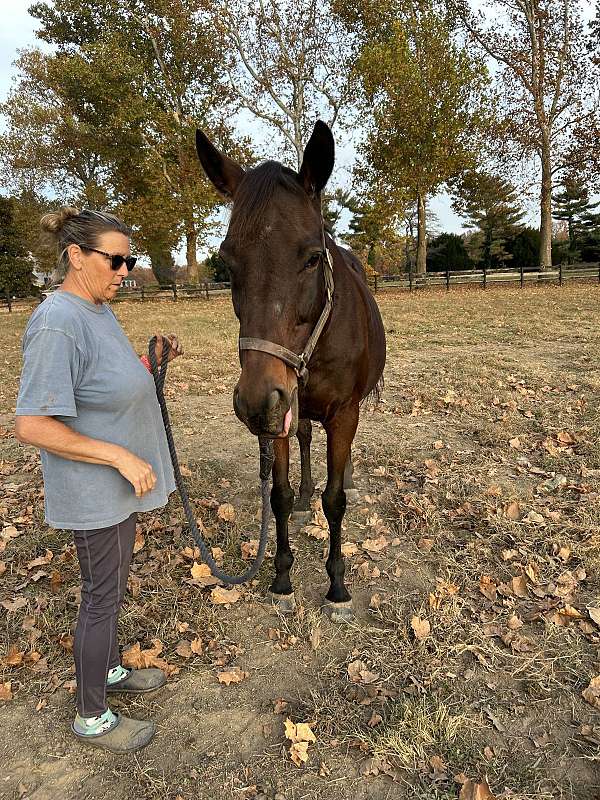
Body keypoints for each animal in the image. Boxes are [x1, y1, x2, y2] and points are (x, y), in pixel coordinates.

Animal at [195, 120, 386, 620]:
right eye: (228, 260)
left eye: (312, 257)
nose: (255, 401)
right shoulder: (279, 413)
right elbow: (277, 495)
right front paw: (281, 576)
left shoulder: (343, 413)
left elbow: (335, 501)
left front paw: (337, 585)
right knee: (303, 440)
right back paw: (304, 495)